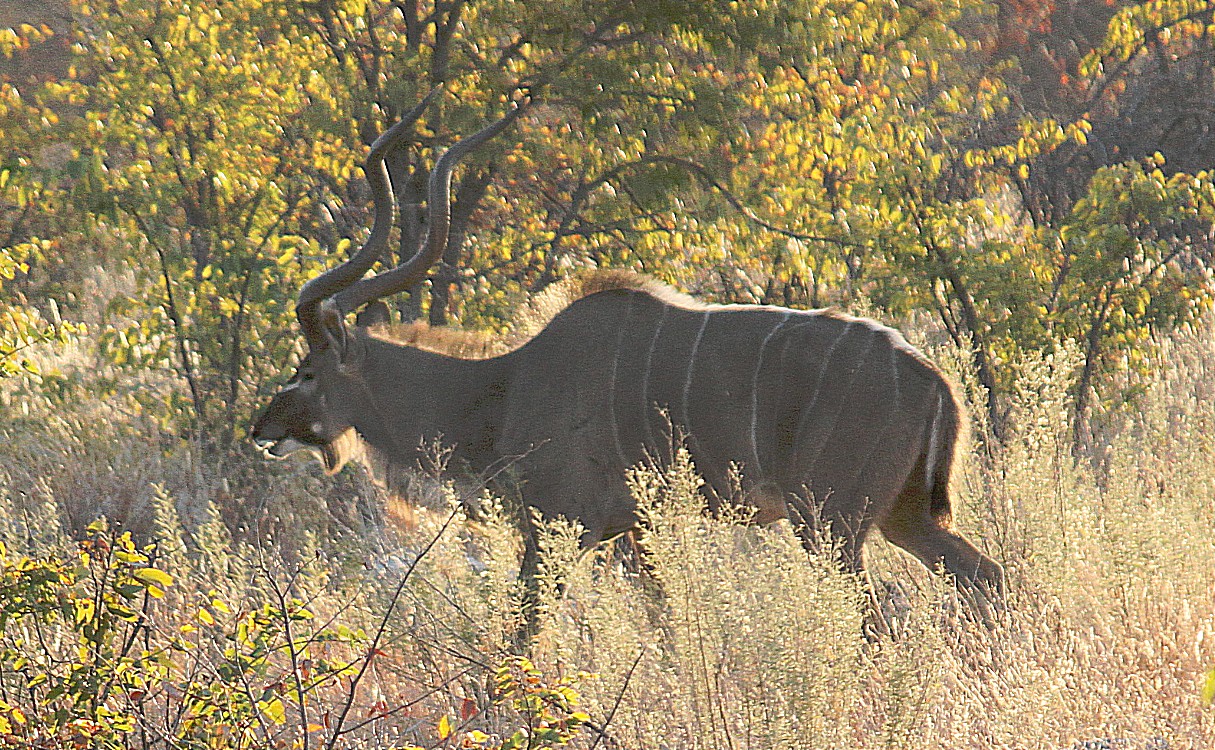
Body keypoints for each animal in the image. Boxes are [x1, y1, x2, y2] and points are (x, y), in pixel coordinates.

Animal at [253, 96, 1006, 617]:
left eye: (307, 370)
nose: (262, 428)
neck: (502, 387)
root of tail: (935, 382)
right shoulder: (633, 534)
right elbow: (664, 622)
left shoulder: (559, 527)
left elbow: (526, 630)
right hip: (901, 516)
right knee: (985, 579)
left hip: (830, 525)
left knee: (876, 615)